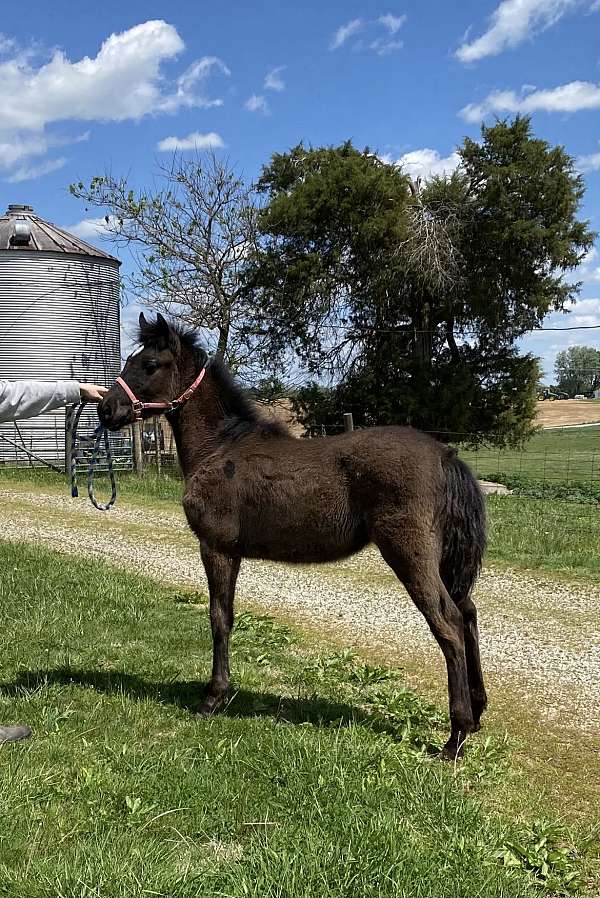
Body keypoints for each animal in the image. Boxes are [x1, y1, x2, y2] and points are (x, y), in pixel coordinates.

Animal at [99, 313, 487, 759]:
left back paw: (455, 737)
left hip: (410, 554)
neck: (220, 447)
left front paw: (213, 697)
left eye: (149, 364)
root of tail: (445, 454)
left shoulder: (216, 548)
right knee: (469, 614)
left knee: (449, 623)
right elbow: (227, 616)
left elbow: (219, 617)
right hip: (443, 561)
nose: (105, 408)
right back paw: (476, 714)